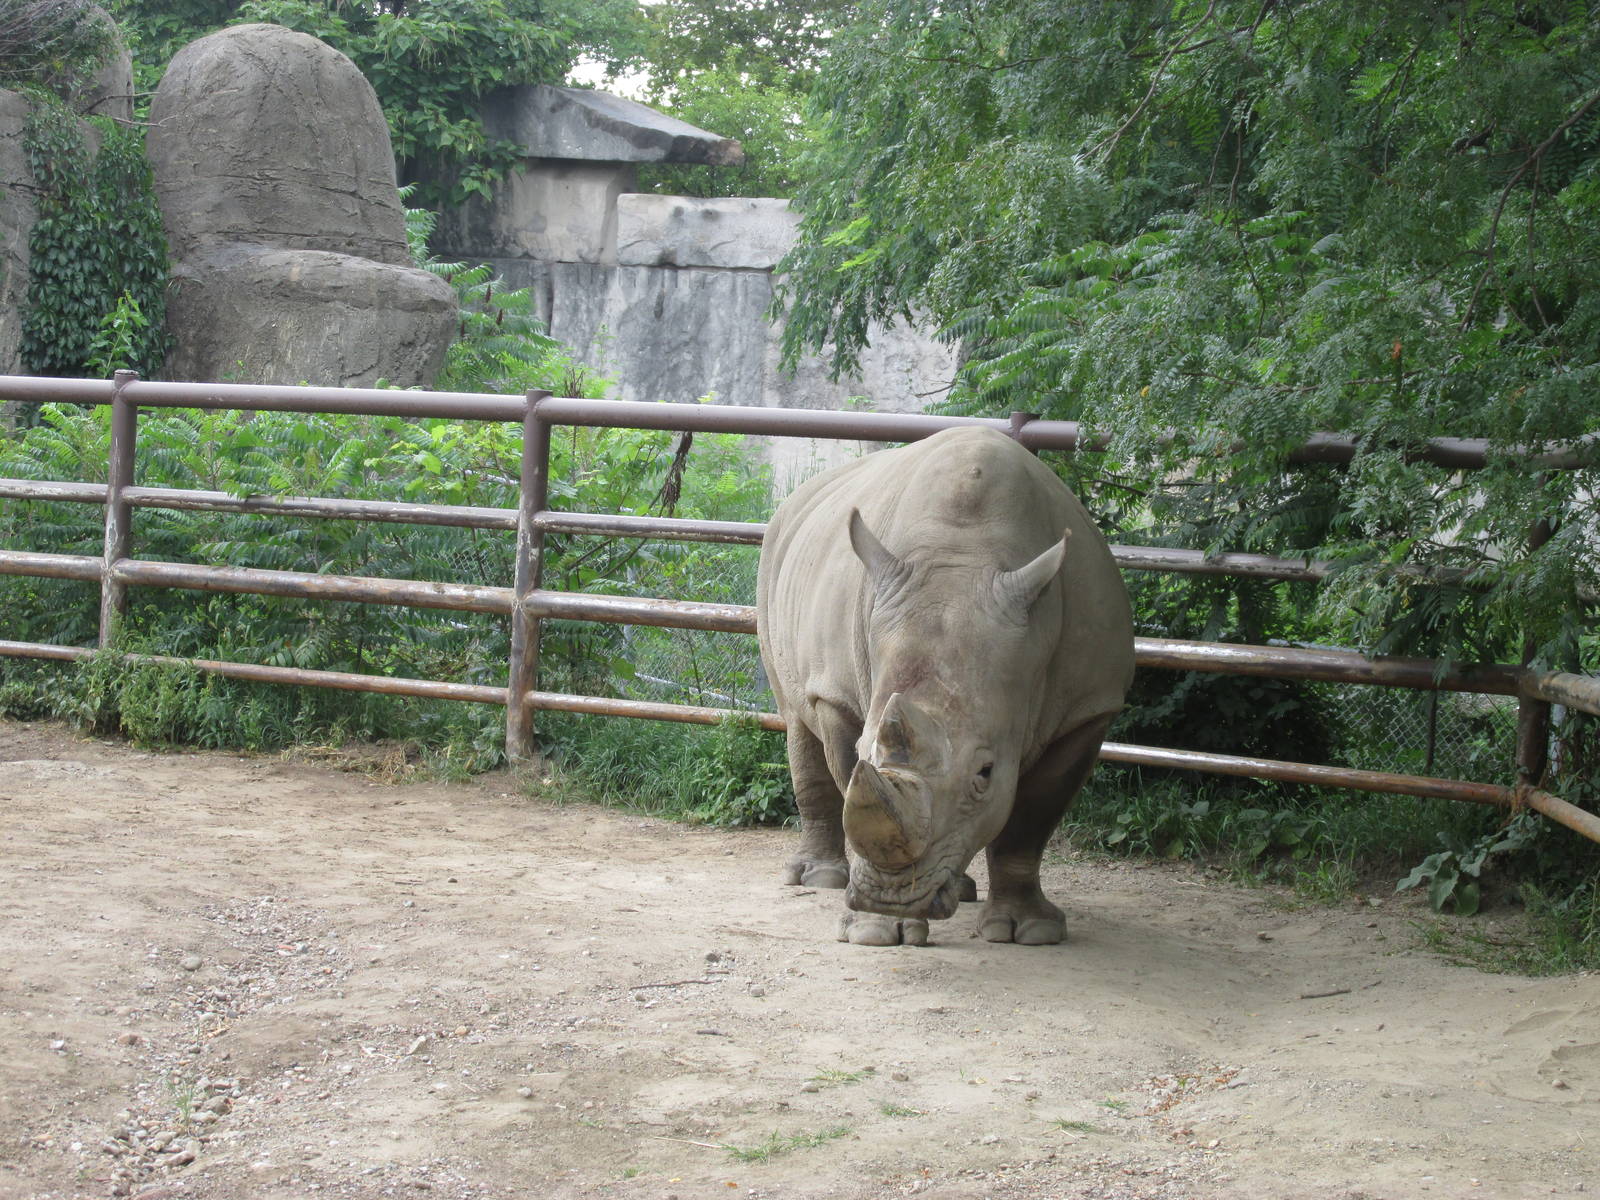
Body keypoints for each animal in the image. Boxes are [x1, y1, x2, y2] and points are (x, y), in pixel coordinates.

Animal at [756, 426, 1134, 946]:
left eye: (986, 773)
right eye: (862, 749)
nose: (889, 896)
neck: (967, 556)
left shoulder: (1089, 706)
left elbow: (1031, 819)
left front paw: (1029, 930)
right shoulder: (836, 695)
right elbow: (849, 773)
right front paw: (876, 930)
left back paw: (964, 890)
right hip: (773, 559)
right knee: (796, 717)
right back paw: (818, 878)